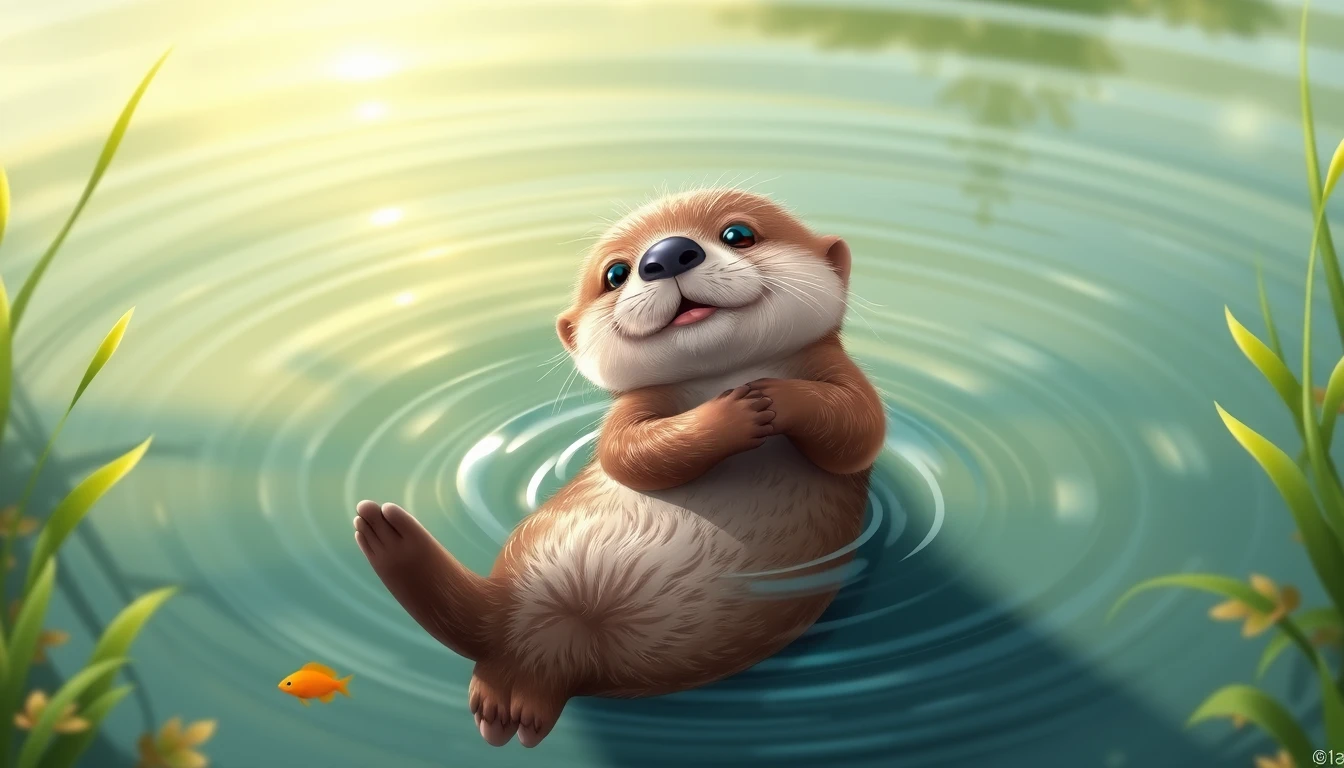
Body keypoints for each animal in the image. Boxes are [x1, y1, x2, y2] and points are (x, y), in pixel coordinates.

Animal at [353, 188, 885, 748]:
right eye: (615, 273)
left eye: (738, 233)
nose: (668, 254)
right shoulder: (634, 407)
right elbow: (626, 453)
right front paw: (735, 412)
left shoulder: (835, 371)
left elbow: (858, 428)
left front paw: (773, 397)